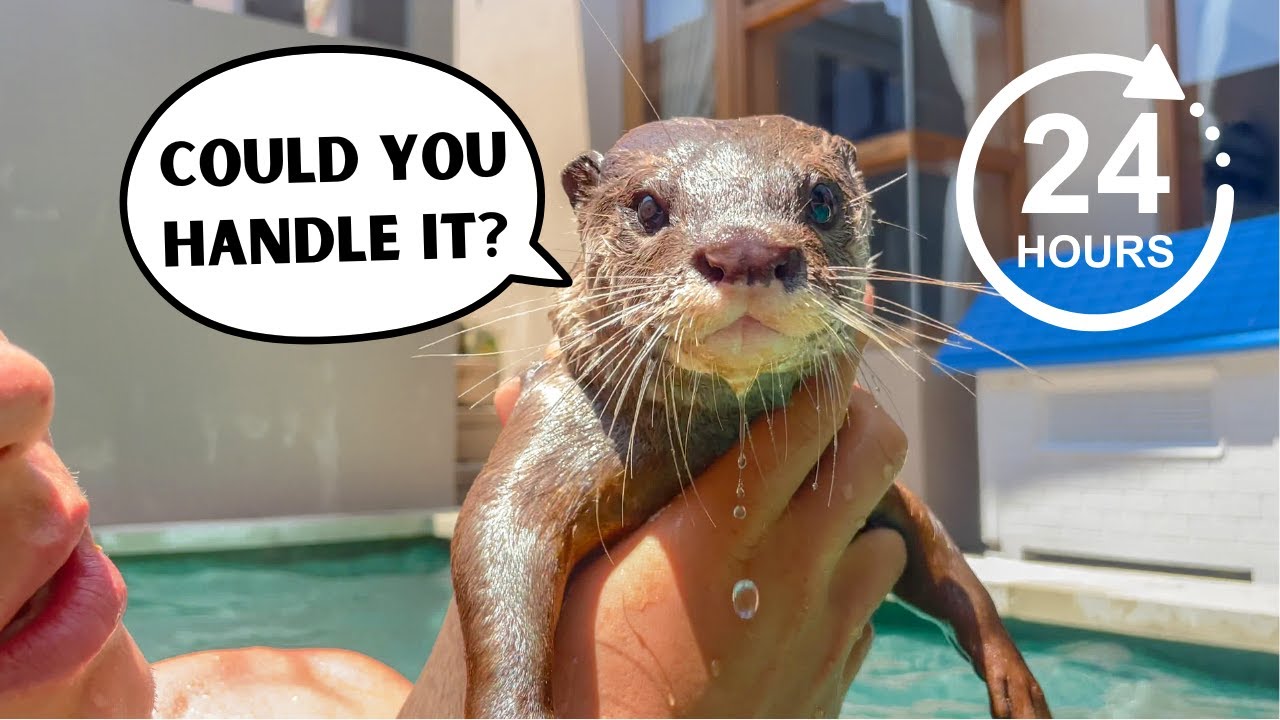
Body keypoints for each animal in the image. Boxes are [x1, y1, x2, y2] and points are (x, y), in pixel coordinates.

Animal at [449, 116, 1049, 718]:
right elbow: (496, 533)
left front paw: (1015, 680)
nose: (745, 251)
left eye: (822, 199)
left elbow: (947, 561)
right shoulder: (554, 425)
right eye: (647, 206)